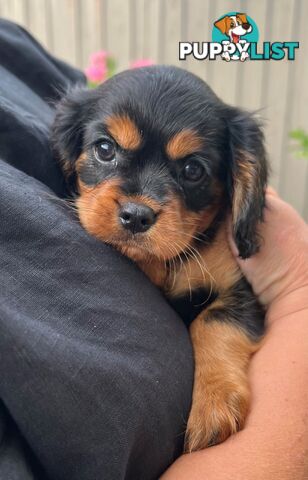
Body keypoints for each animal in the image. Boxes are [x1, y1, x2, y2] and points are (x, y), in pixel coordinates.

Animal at [52, 65, 268, 452]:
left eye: (193, 170)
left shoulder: (239, 291)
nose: (136, 216)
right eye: (105, 149)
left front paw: (214, 405)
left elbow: (211, 322)